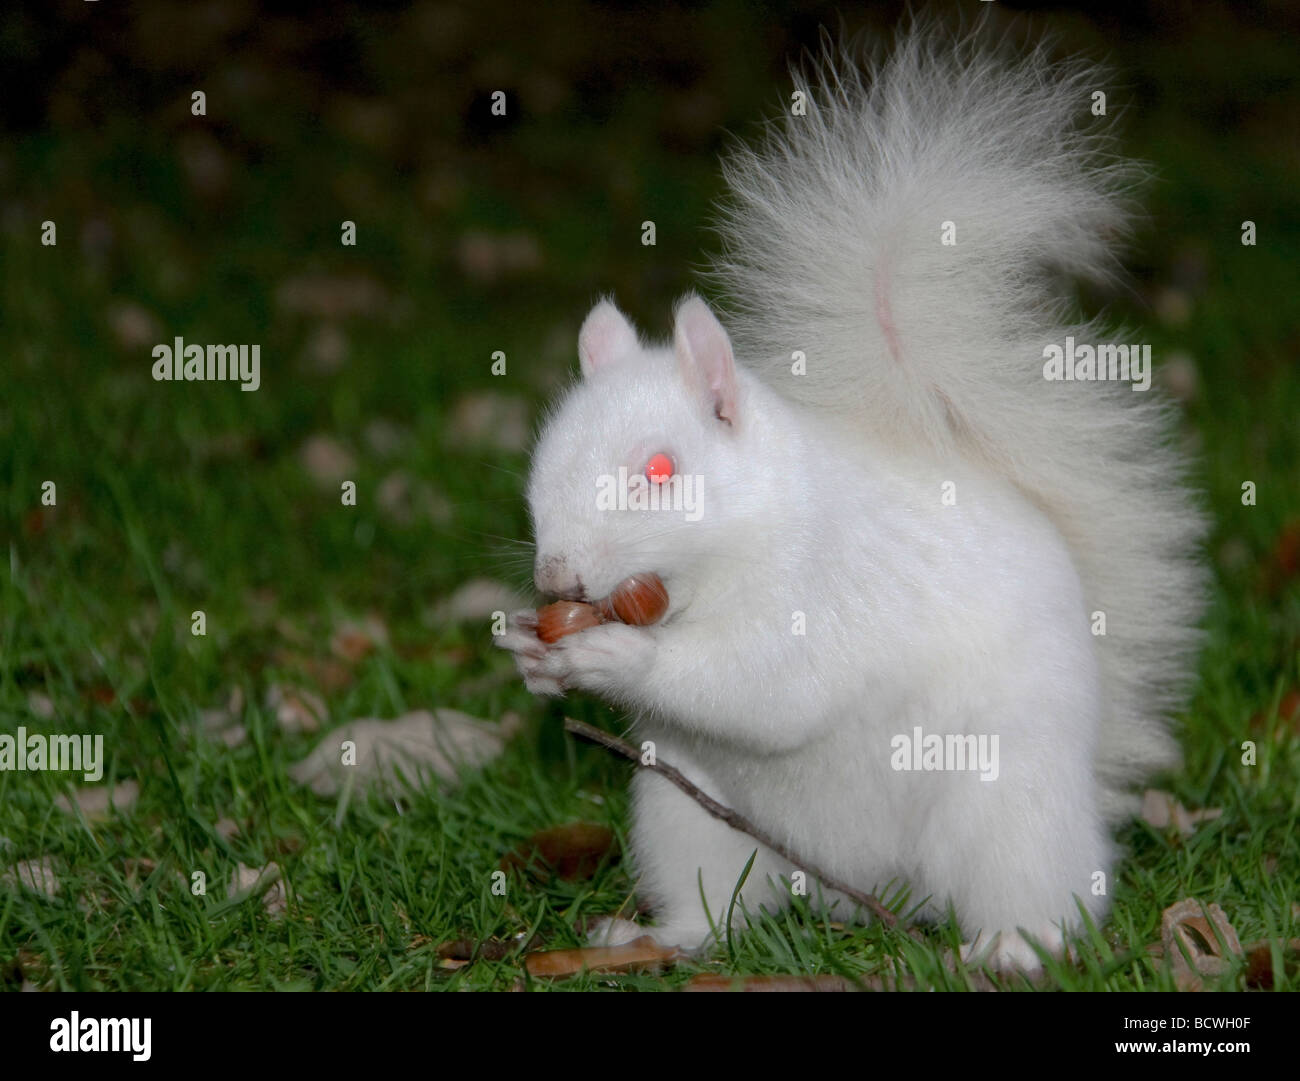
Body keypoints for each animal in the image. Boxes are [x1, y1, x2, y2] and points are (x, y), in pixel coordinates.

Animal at [491, 25, 1201, 971]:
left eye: (662, 469)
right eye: (543, 461)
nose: (558, 578)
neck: (715, 568)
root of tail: (856, 886)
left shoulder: (823, 595)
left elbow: (766, 686)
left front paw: (617, 657)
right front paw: (531, 654)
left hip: (1006, 807)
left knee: (1039, 893)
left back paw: (1012, 945)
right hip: (687, 813)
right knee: (721, 907)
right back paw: (660, 934)